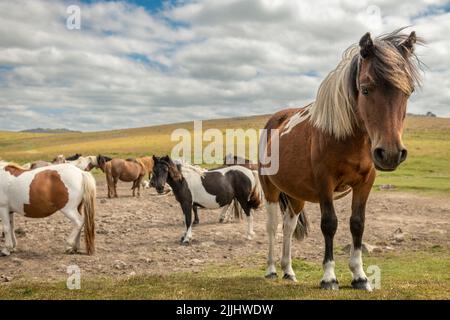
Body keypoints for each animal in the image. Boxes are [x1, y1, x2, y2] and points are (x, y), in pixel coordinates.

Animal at [258, 28, 424, 292]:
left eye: (408, 92)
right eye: (365, 89)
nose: (390, 153)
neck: (348, 137)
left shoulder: (365, 183)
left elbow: (357, 223)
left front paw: (360, 276)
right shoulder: (324, 182)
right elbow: (329, 224)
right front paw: (329, 277)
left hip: (296, 196)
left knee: (288, 227)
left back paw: (288, 271)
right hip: (271, 190)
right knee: (273, 227)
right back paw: (272, 269)